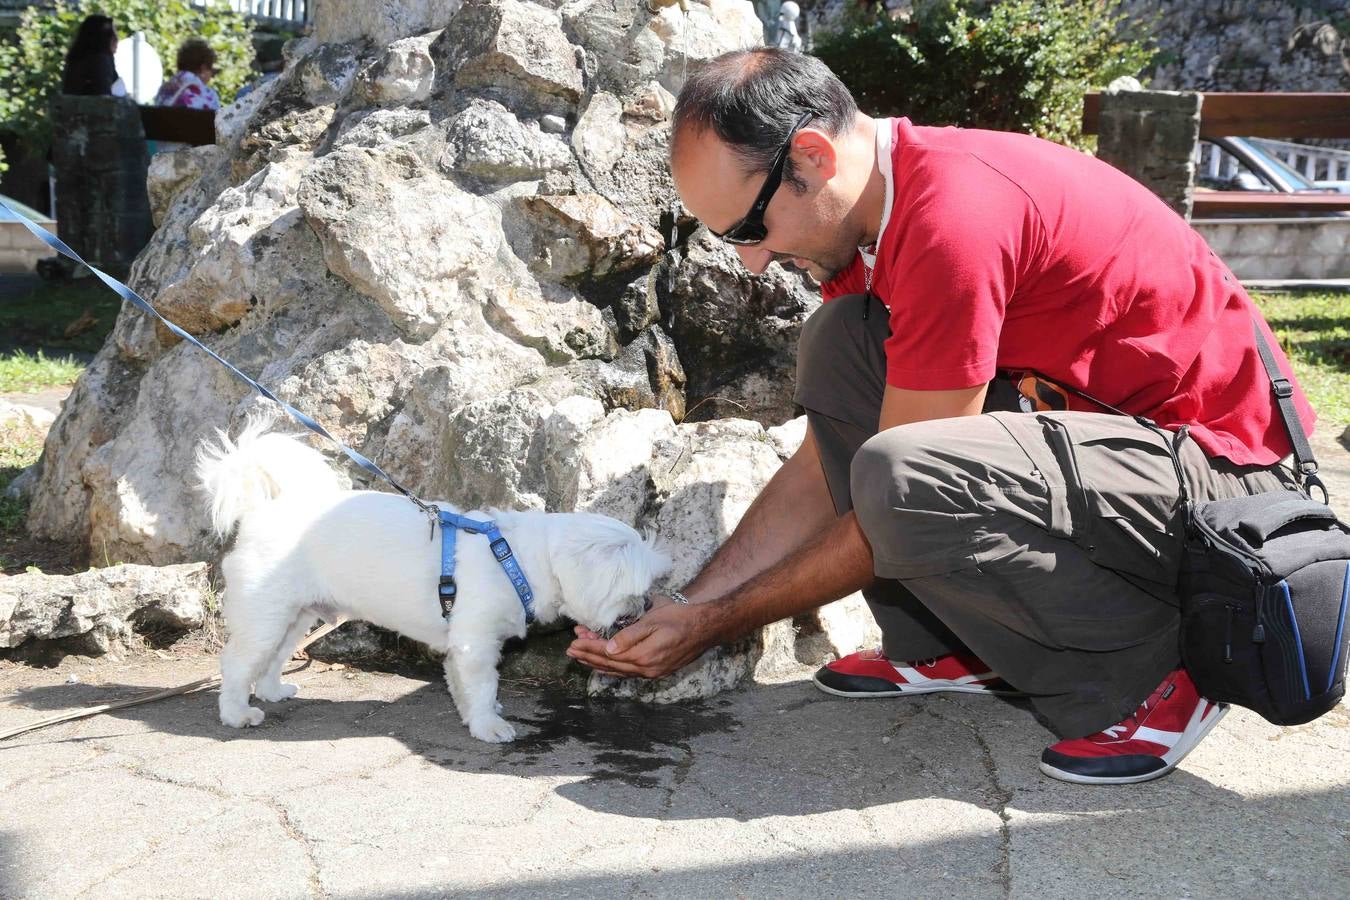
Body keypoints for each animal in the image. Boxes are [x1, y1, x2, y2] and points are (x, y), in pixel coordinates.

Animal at [195, 418, 669, 744]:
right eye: (635, 593)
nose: (645, 610)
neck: (513, 558)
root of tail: (261, 512)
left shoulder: (463, 645)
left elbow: (464, 685)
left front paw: (476, 713)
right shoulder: (476, 641)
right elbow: (483, 683)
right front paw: (489, 725)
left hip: (296, 616)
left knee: (272, 659)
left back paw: (272, 691)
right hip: (265, 614)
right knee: (236, 663)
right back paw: (236, 713)